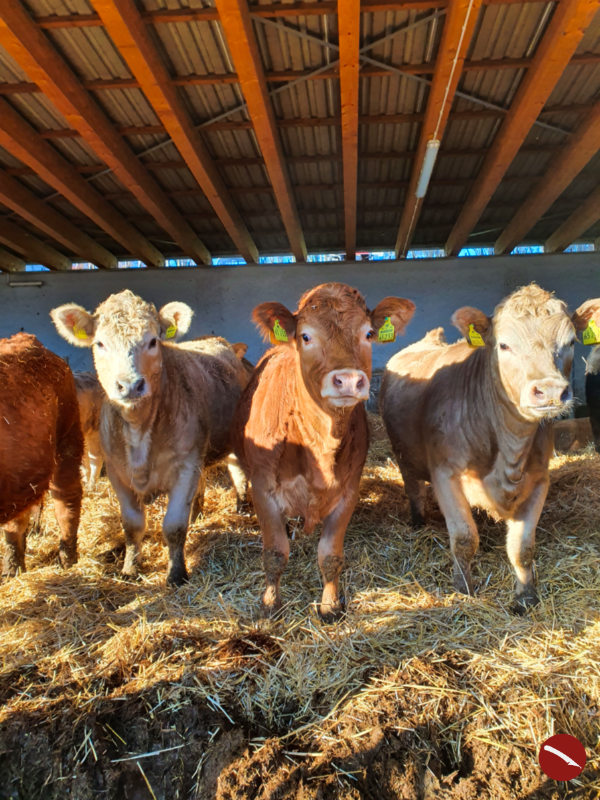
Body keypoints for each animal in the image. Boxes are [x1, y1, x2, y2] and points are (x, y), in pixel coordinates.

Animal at [50, 290, 250, 584]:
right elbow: (132, 525)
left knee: (238, 473)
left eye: (153, 341)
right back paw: (198, 511)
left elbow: (174, 526)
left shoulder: (185, 467)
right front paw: (130, 567)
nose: (130, 385)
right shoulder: (118, 473)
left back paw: (243, 506)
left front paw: (177, 574)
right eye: (100, 343)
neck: (139, 432)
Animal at [234, 282, 418, 620]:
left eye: (368, 333)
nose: (348, 379)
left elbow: (330, 555)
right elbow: (275, 552)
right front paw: (270, 603)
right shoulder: (263, 490)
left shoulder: (348, 492)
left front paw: (330, 605)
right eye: (306, 336)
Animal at [380, 284, 600, 608]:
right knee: (414, 489)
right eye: (504, 346)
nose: (549, 391)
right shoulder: (445, 475)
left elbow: (522, 547)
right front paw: (463, 589)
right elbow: (463, 538)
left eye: (571, 341)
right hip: (404, 457)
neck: (509, 450)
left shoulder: (539, 480)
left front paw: (526, 596)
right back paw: (418, 522)